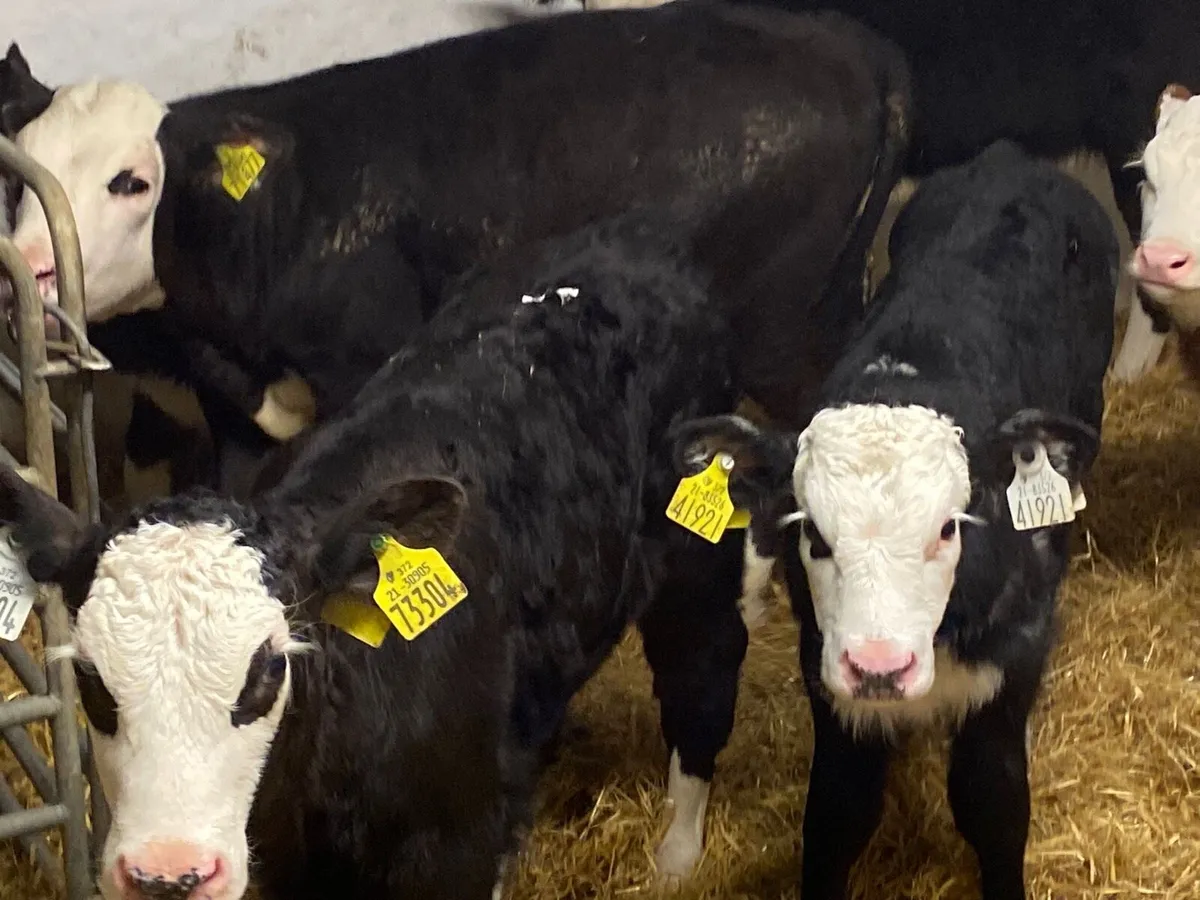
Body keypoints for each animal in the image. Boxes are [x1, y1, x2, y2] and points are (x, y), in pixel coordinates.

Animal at [0, 1, 911, 506]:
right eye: (24, 172)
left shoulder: (363, 376)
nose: (30, 271)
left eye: (130, 183)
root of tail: (842, 38)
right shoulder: (237, 415)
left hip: (785, 337)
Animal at [0, 207, 808, 900]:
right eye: (92, 679)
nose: (168, 874)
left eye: (267, 671)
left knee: (702, 661)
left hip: (695, 549)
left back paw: (677, 851)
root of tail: (635, 237)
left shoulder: (452, 846)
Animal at [669, 141, 1116, 900]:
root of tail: (1007, 159)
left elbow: (995, 806)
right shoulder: (831, 684)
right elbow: (837, 815)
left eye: (949, 527)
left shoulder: (1006, 667)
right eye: (813, 534)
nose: (880, 665)